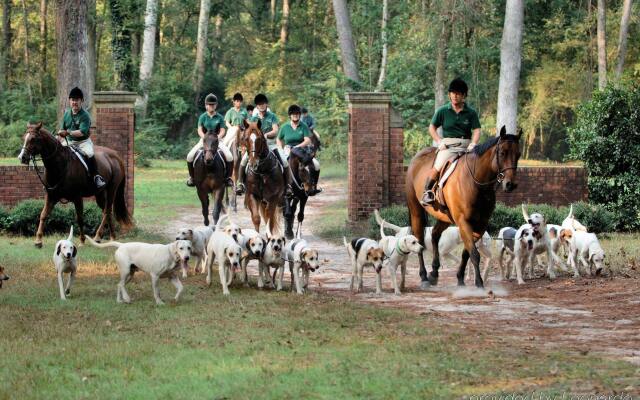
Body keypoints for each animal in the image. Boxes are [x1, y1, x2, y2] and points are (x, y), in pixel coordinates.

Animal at [408, 126, 524, 290]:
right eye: (502, 153)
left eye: (518, 154)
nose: (510, 184)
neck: (476, 183)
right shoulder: (464, 221)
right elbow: (474, 253)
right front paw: (479, 283)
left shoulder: (480, 224)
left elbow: (467, 252)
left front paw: (460, 279)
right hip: (416, 211)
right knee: (418, 240)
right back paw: (424, 277)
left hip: (445, 217)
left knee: (435, 234)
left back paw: (434, 273)